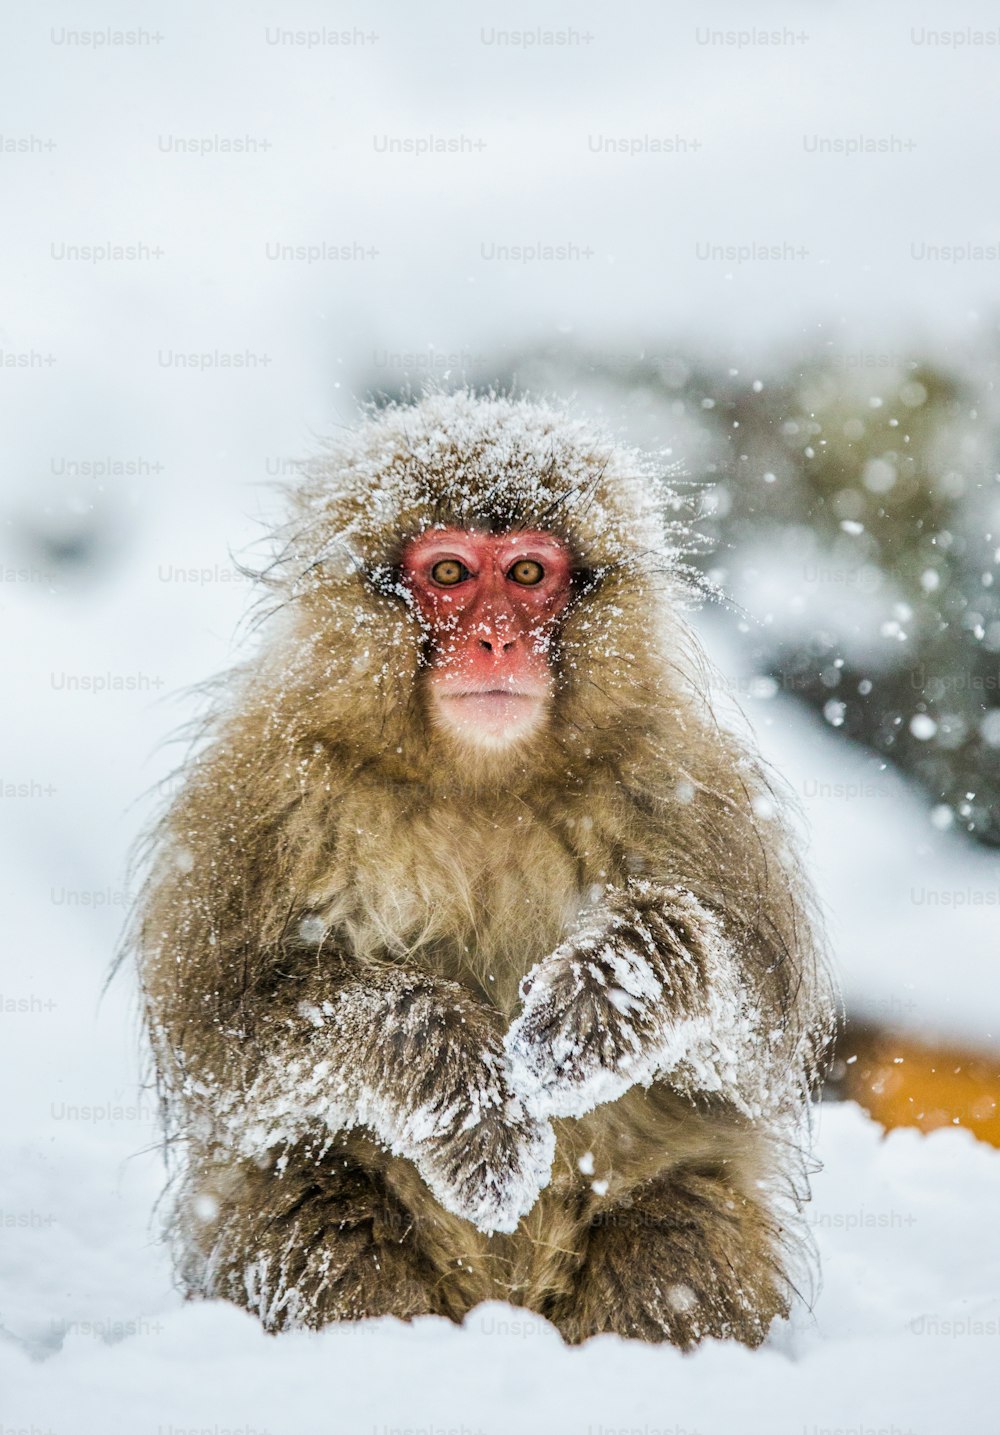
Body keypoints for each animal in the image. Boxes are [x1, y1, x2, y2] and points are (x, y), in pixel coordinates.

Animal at [134, 390, 832, 1343]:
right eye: (452, 573)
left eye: (530, 573)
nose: (498, 640)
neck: (481, 784)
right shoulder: (258, 795)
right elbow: (225, 1028)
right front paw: (458, 1083)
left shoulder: (687, 781)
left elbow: (757, 1025)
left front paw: (614, 987)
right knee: (311, 1216)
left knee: (678, 1234)